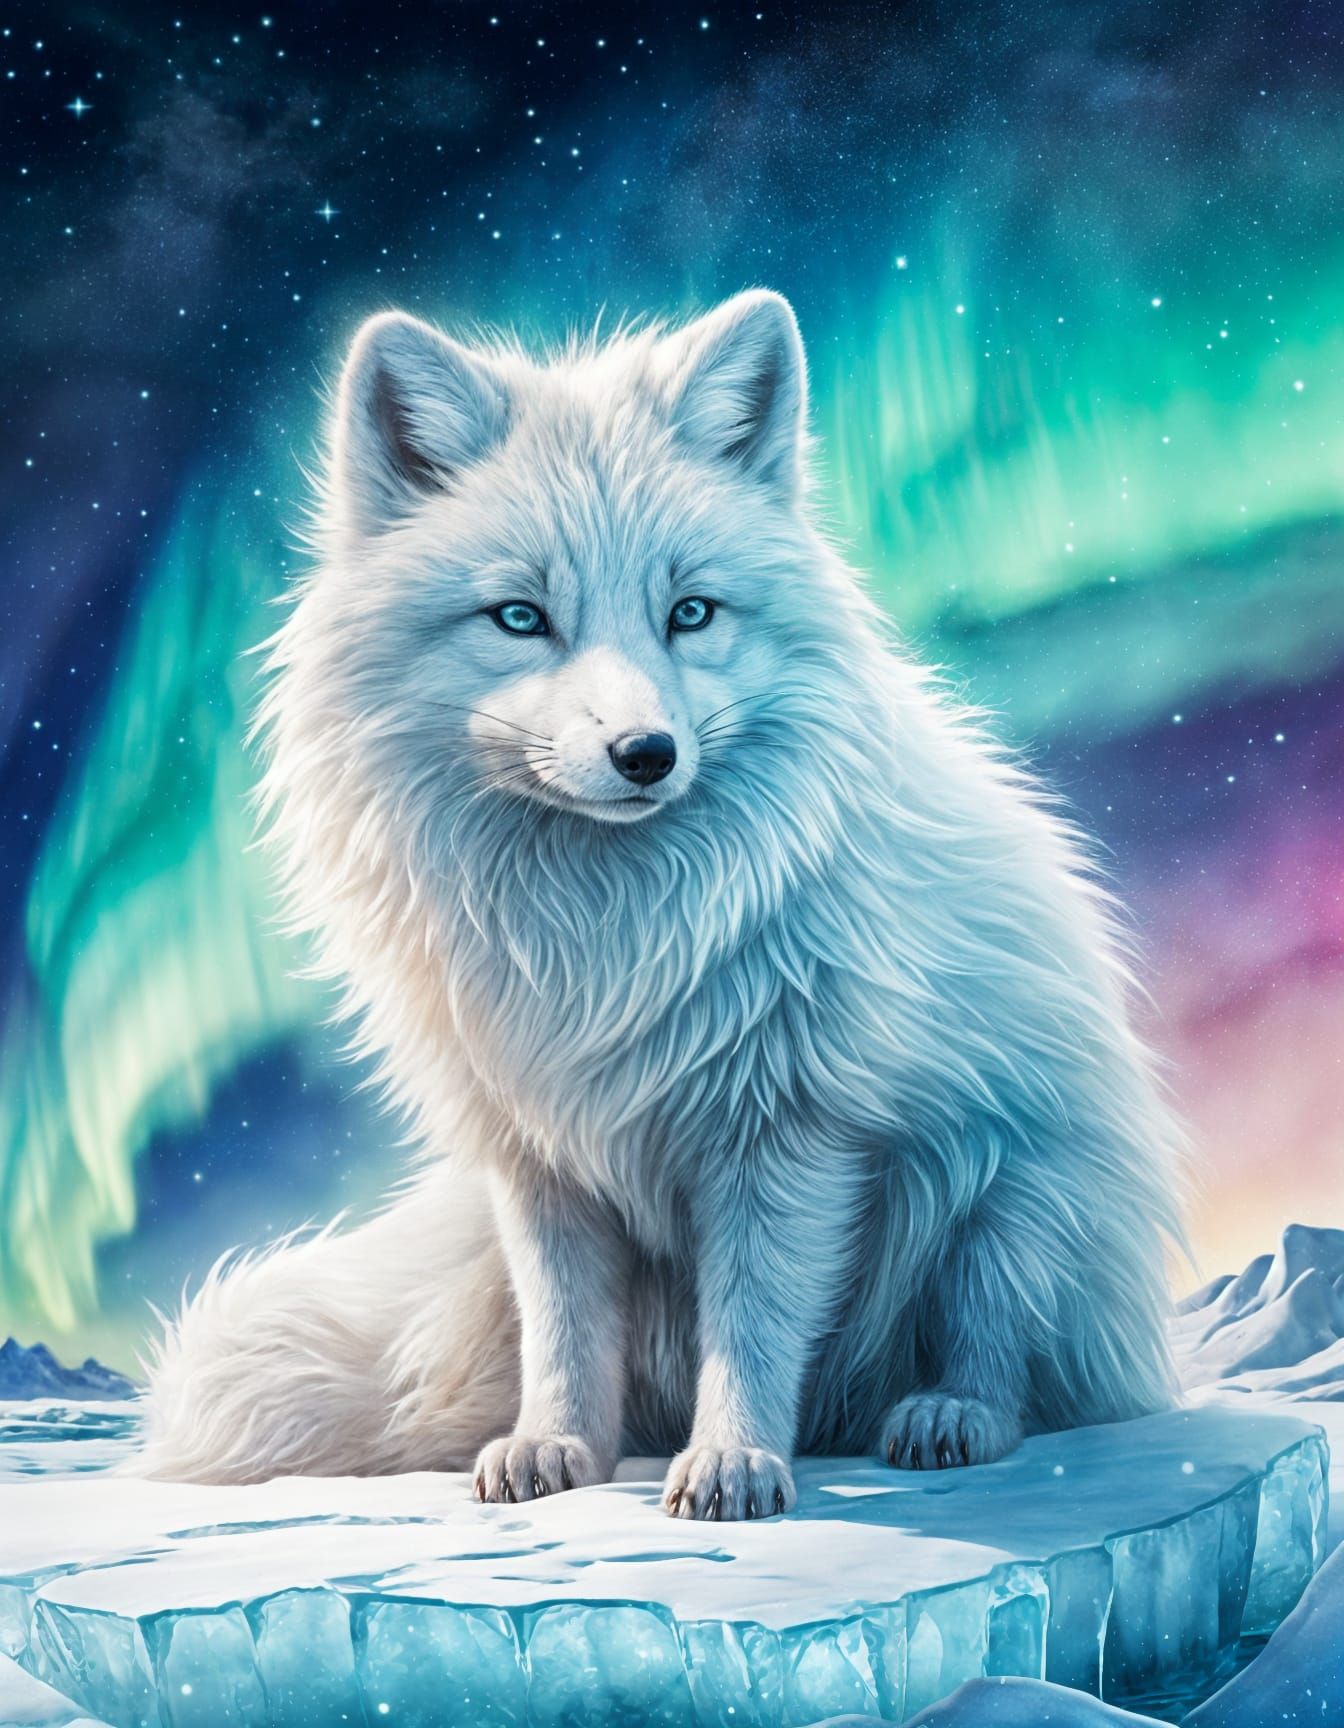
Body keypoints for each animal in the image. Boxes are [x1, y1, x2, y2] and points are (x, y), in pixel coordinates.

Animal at [139, 290, 1184, 1519]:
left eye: (692, 612)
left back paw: (944, 1417)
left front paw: (734, 1462)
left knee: (1004, 1352)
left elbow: (757, 1323)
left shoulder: (790, 1132)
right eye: (519, 618)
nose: (646, 753)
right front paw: (556, 1450)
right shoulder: (538, 1158)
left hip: (1019, 1189)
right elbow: (562, 1332)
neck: (607, 936)